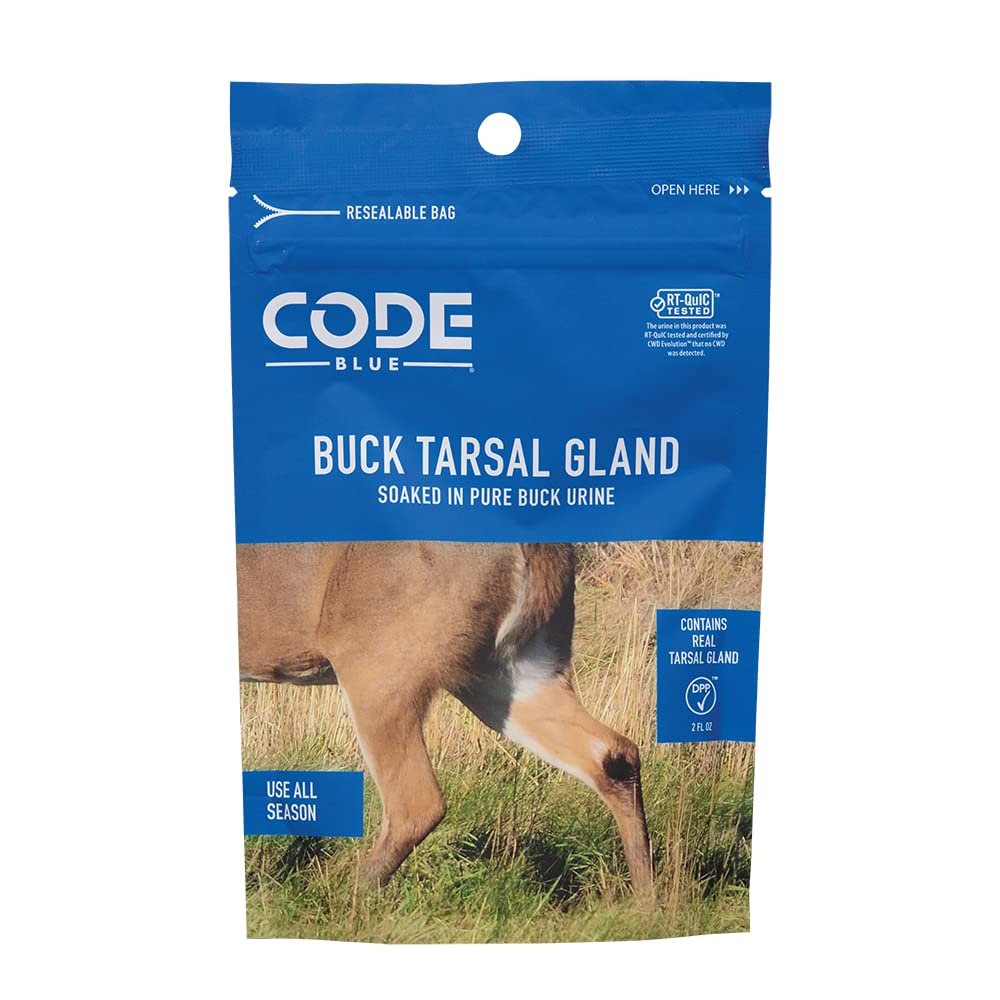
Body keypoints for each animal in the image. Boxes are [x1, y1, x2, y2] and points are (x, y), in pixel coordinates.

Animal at [237, 541, 653, 892]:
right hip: (516, 669)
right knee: (614, 752)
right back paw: (645, 899)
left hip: (379, 659)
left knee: (417, 802)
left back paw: (340, 893)